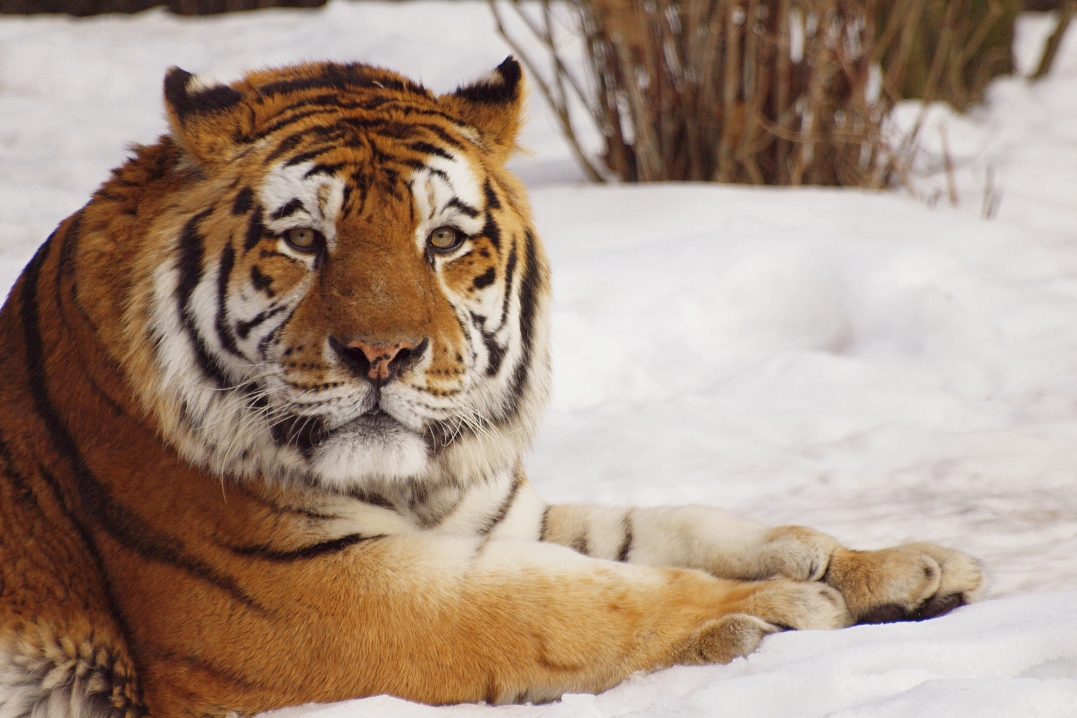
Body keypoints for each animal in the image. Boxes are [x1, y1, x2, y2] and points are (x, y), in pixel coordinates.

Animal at [0, 60, 986, 718]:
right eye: (304, 240)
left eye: (441, 239)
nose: (382, 354)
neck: (409, 484)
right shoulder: (307, 603)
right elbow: (566, 601)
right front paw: (776, 609)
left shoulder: (492, 512)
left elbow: (665, 529)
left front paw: (891, 566)